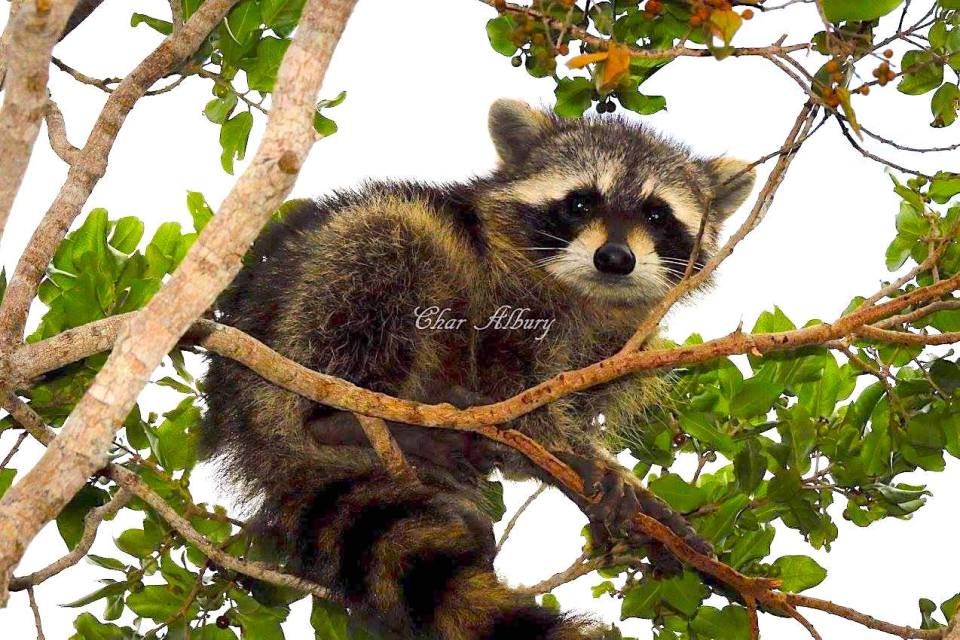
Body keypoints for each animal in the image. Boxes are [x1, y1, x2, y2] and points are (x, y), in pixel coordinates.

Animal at [202, 99, 755, 640]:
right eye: (581, 203)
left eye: (657, 214)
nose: (615, 258)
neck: (588, 295)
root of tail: (245, 420)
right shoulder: (503, 303)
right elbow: (516, 403)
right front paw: (571, 464)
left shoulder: (617, 349)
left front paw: (639, 498)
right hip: (303, 316)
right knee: (391, 235)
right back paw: (344, 419)